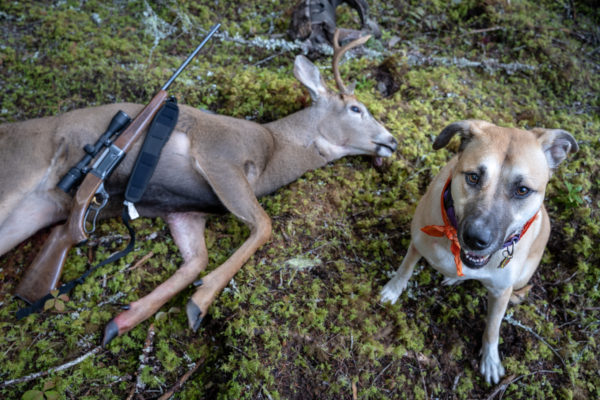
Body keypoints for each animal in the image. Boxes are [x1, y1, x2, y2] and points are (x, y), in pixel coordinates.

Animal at [1, 32, 398, 344]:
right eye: (356, 108)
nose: (392, 141)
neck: (273, 150)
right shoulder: (219, 156)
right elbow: (264, 225)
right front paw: (200, 302)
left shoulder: (185, 210)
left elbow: (196, 259)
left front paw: (124, 320)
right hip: (15, 180)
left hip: (31, 213)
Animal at [382, 121, 580, 384]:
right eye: (473, 177)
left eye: (522, 190)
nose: (476, 239)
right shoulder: (417, 243)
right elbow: (404, 270)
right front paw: (392, 290)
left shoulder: (501, 292)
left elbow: (493, 329)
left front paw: (490, 360)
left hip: (523, 277)